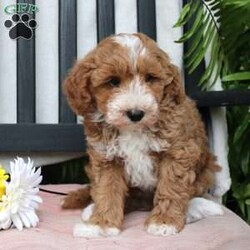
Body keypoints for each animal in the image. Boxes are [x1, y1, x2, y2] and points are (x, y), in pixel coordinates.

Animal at [62, 33, 223, 238]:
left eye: (150, 78)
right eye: (113, 81)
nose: (136, 113)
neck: (133, 129)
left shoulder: (178, 151)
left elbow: (172, 187)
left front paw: (164, 221)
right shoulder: (106, 158)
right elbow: (107, 190)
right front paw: (101, 224)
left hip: (206, 172)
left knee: (193, 193)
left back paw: (194, 209)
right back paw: (92, 209)